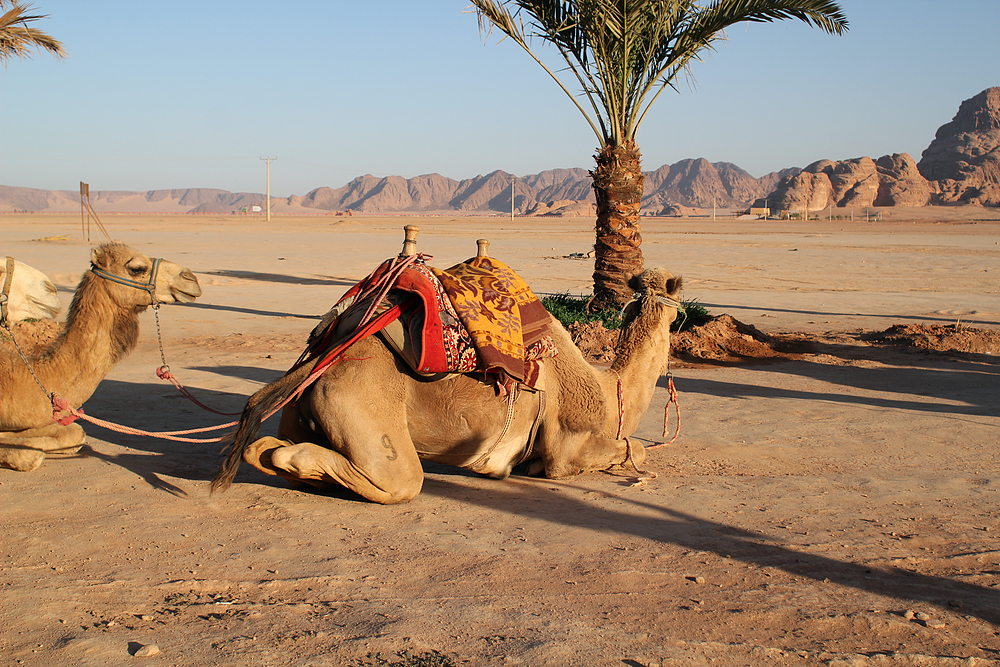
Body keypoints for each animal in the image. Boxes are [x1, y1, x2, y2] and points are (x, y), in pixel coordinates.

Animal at [211, 264, 680, 504]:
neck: (608, 391)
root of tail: (330, 344)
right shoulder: (566, 448)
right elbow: (633, 448)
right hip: (364, 404)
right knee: (397, 480)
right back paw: (300, 460)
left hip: (303, 403)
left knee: (262, 449)